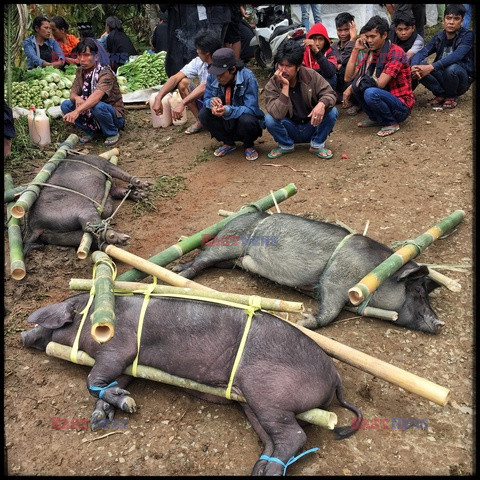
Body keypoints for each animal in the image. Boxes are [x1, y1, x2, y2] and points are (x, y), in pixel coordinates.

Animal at [21, 292, 360, 476]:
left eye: (47, 322)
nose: (22, 335)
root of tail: (334, 376)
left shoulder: (120, 347)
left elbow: (92, 379)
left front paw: (128, 404)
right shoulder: (128, 366)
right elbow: (107, 383)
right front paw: (100, 419)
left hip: (268, 392)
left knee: (295, 436)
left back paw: (270, 471)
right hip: (253, 404)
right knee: (273, 440)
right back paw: (259, 469)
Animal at [22, 153, 150, 255]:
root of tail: (36, 226)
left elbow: (120, 191)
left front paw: (143, 195)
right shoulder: (103, 164)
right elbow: (122, 174)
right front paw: (146, 185)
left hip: (58, 236)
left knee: (89, 237)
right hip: (79, 206)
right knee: (92, 225)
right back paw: (124, 238)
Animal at [172, 214, 442, 334]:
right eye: (417, 291)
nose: (440, 322)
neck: (374, 272)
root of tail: (235, 217)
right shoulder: (335, 279)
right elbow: (330, 312)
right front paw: (303, 322)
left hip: (231, 260)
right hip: (230, 242)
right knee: (202, 258)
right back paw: (179, 272)